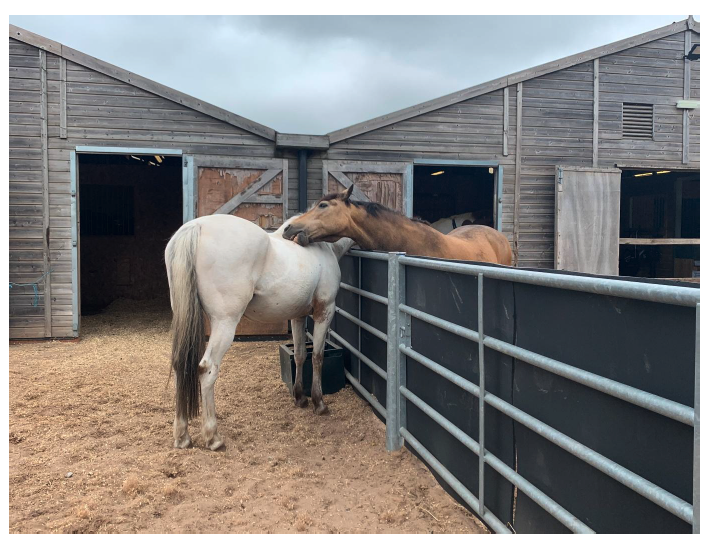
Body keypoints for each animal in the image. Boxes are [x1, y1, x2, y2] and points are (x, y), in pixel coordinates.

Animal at [165, 214, 354, 450]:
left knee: (180, 365)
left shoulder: (298, 316)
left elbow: (300, 355)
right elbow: (317, 357)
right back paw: (213, 437)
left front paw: (300, 398)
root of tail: (196, 226)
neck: (322, 246)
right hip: (225, 323)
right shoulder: (324, 312)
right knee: (207, 369)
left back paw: (182, 436)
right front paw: (318, 403)